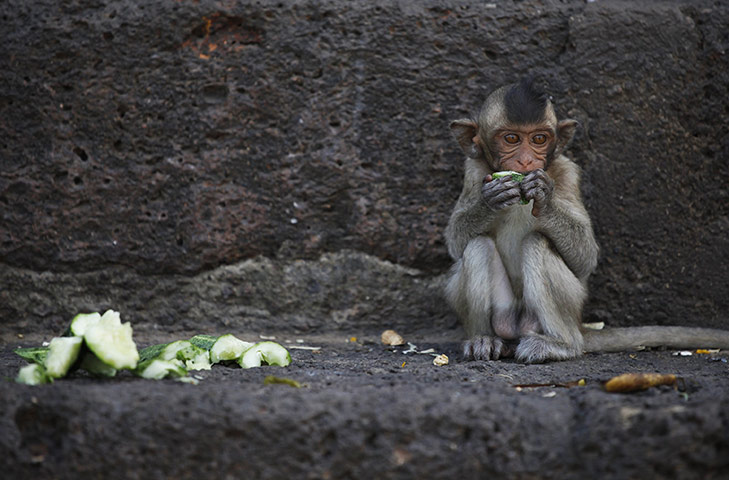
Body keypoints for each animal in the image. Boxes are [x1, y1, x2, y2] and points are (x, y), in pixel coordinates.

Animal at [444, 77, 729, 363]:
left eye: (539, 139)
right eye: (511, 138)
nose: (526, 160)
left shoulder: (568, 172)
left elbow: (585, 259)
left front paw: (544, 198)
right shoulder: (473, 170)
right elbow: (456, 243)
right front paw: (492, 198)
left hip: (571, 303)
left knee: (537, 244)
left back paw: (562, 345)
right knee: (477, 246)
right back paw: (485, 339)